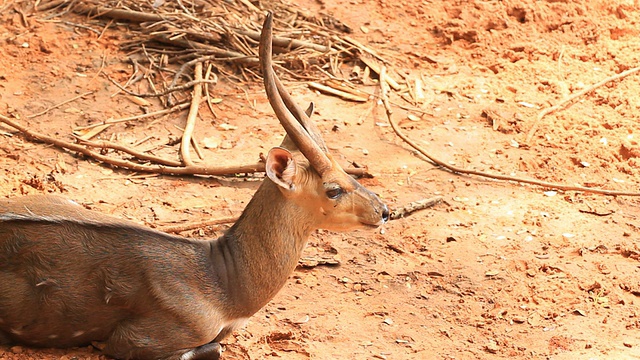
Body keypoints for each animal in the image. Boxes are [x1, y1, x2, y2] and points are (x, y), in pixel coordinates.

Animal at [0, 11, 390, 360]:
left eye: (349, 173)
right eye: (333, 189)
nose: (384, 210)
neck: (225, 287)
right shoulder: (137, 339)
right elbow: (210, 348)